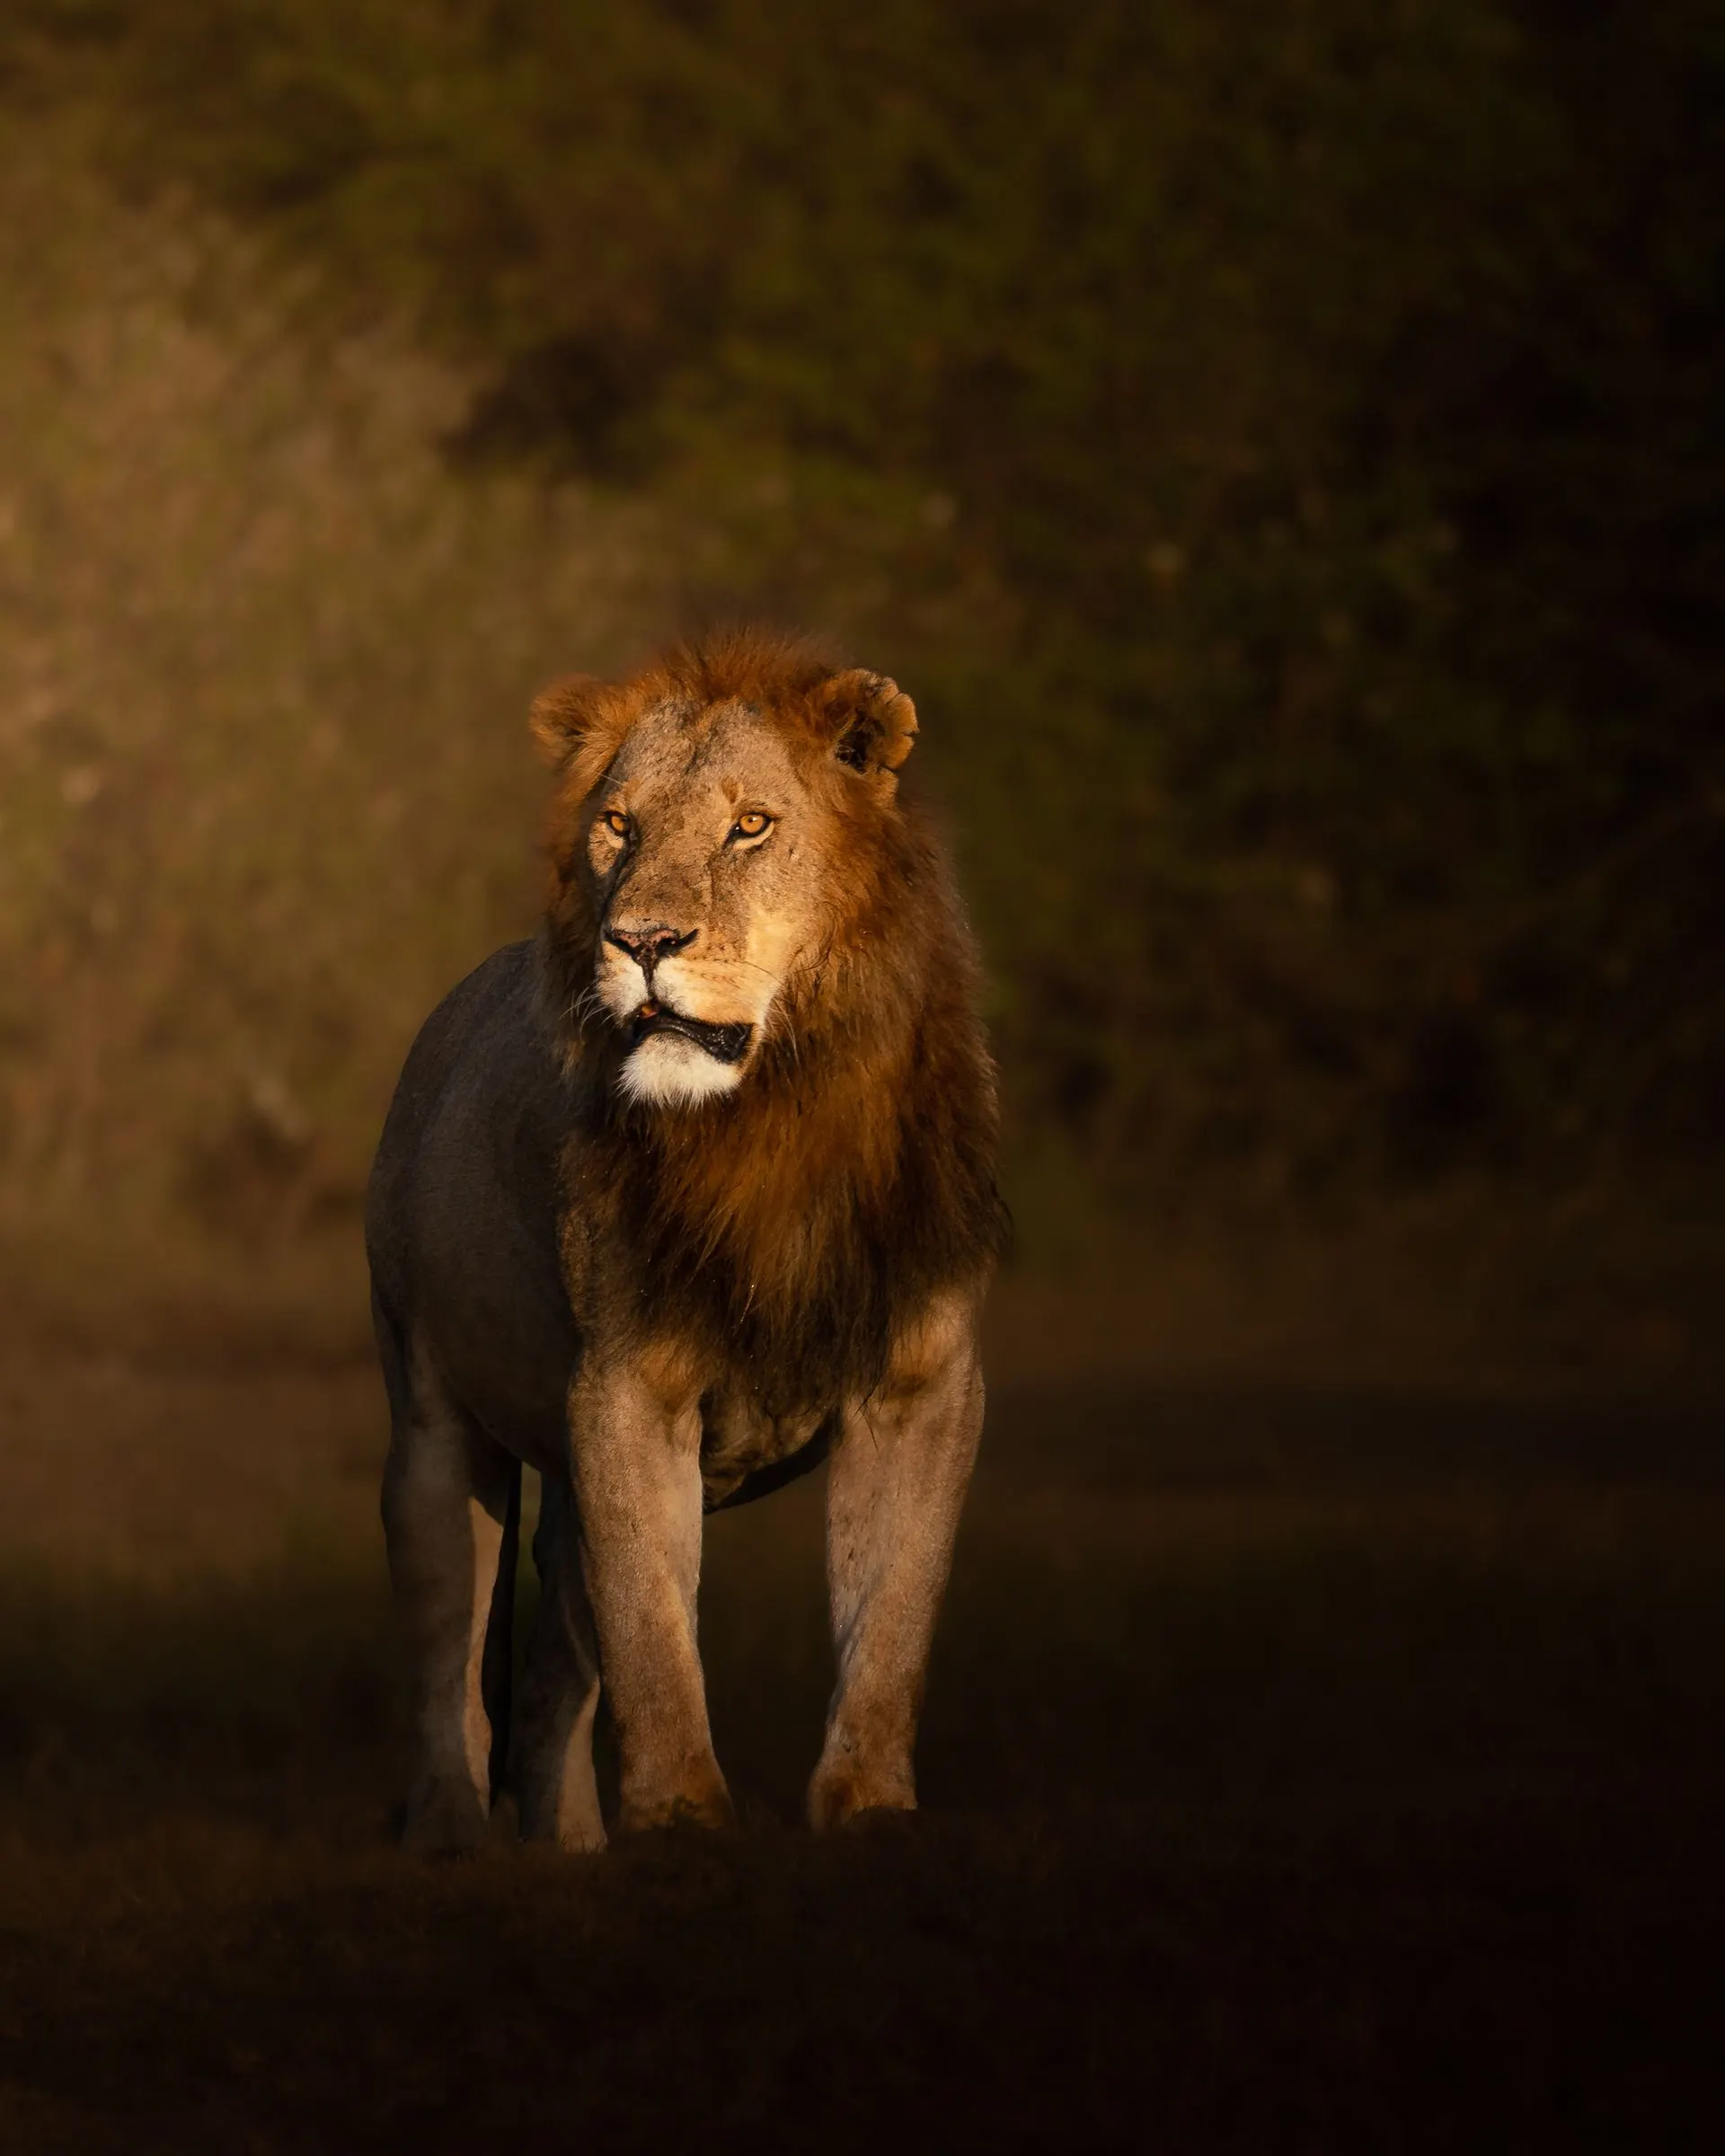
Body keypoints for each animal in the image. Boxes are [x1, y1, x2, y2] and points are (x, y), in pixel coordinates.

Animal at [365, 629, 1004, 1853]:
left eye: (750, 825)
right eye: (620, 826)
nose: (644, 941)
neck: (773, 1114)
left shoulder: (921, 1382)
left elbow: (891, 1617)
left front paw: (869, 1808)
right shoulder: (626, 1387)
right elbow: (654, 1632)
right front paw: (681, 1821)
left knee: (551, 1676)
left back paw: (568, 1850)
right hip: (430, 1426)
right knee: (449, 1667)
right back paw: (452, 1836)